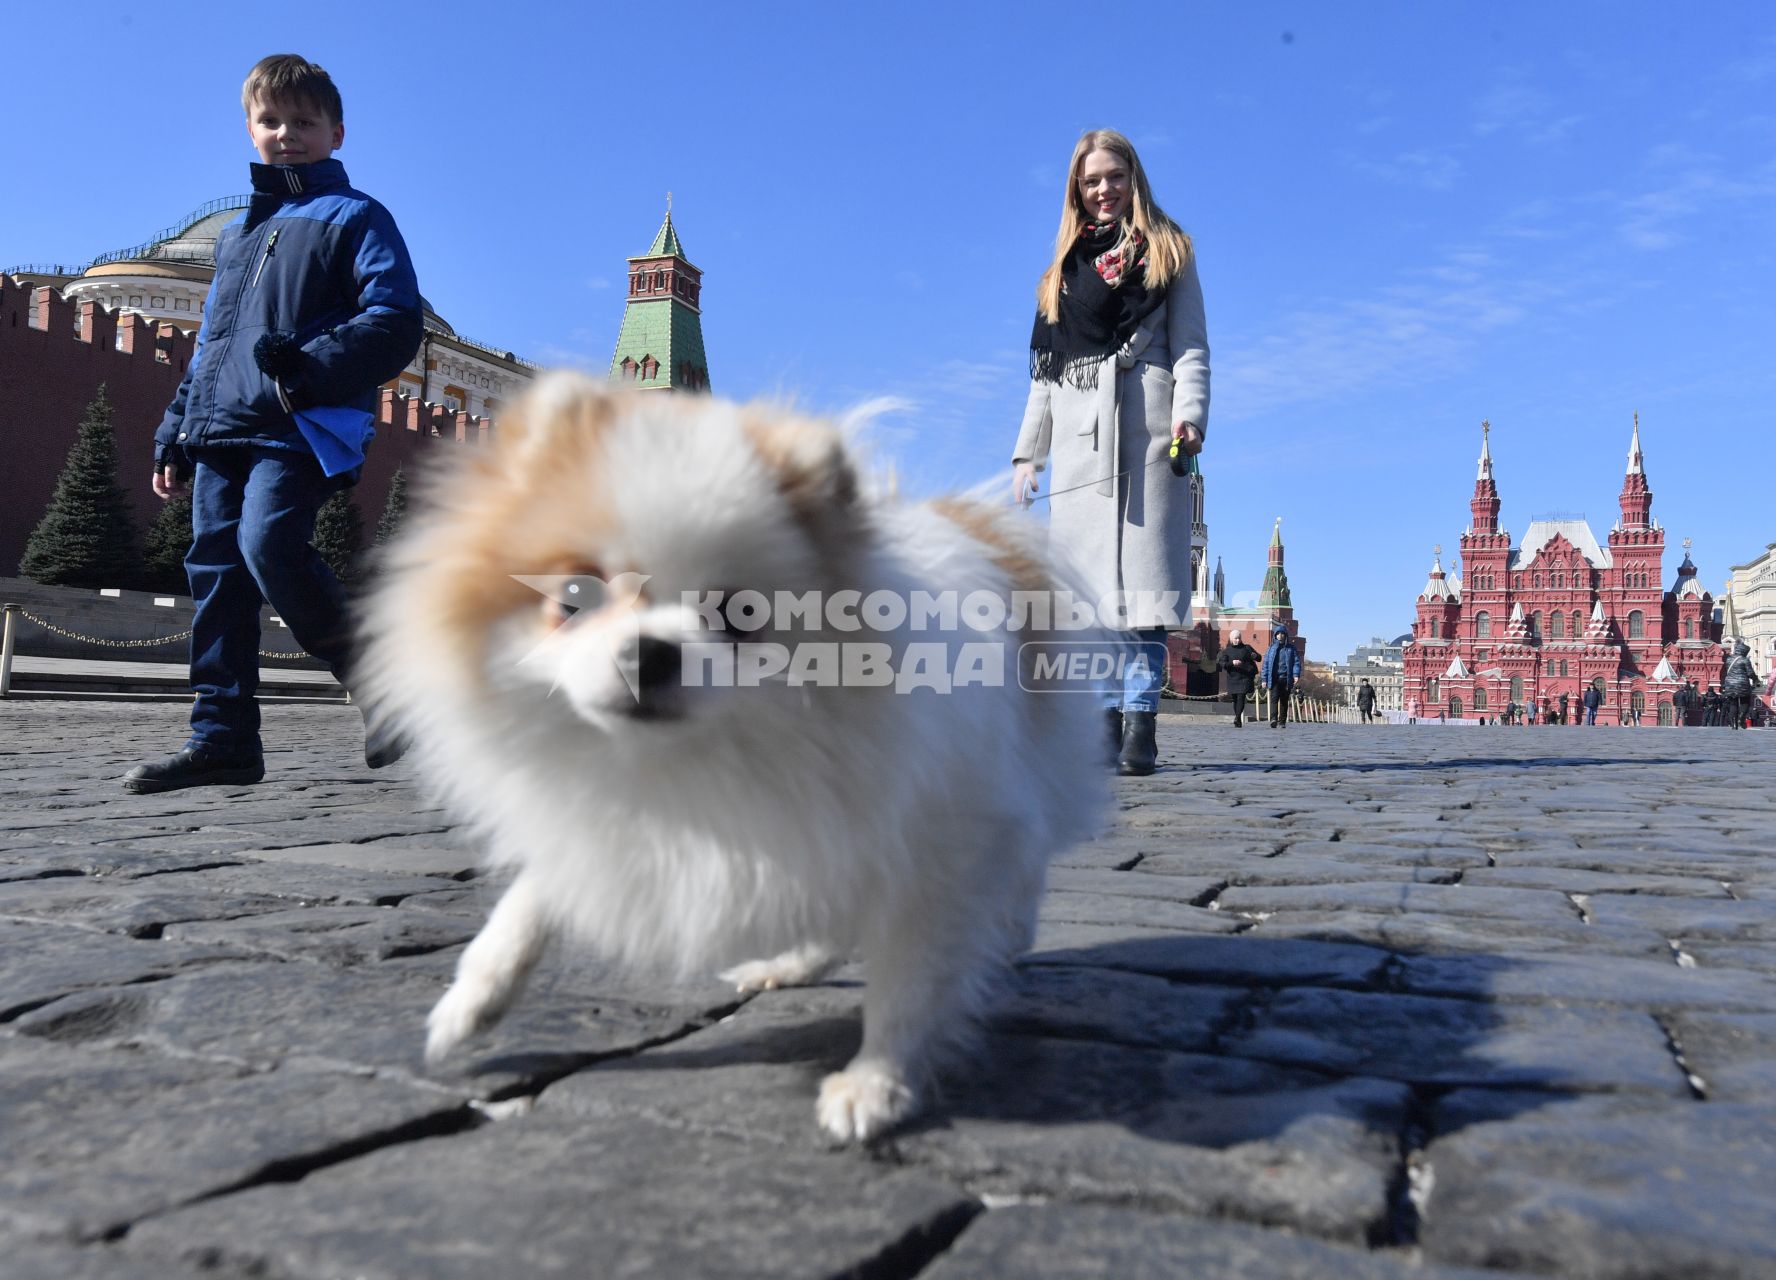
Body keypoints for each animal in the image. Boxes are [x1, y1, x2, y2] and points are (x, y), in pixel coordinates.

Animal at [356, 369, 1108, 1136]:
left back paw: (1006, 931)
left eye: (739, 615)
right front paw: (471, 1004)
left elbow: (911, 978)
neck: (692, 759)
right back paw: (788, 964)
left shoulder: (940, 839)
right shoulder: (623, 825)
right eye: (573, 597)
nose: (650, 651)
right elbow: (526, 905)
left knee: (1022, 858)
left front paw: (877, 1083)